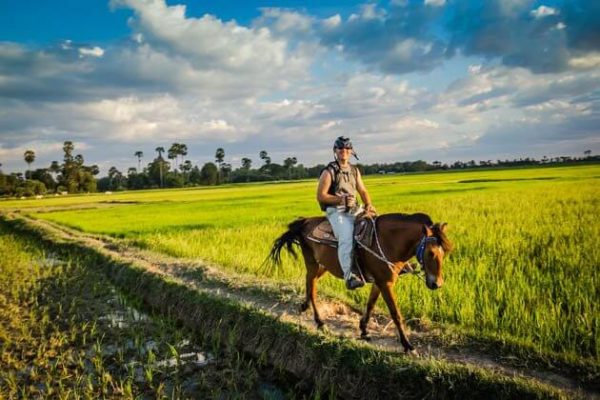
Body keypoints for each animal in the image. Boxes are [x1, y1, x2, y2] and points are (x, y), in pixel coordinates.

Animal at [270, 212, 452, 354]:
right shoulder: (385, 283)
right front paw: (407, 345)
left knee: (309, 283)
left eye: (444, 253)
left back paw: (305, 306)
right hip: (312, 263)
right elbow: (395, 314)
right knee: (312, 286)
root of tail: (305, 221)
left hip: (322, 266)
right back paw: (319, 321)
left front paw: (364, 329)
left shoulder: (379, 282)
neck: (388, 242)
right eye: (430, 253)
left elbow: (370, 305)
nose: (437, 284)